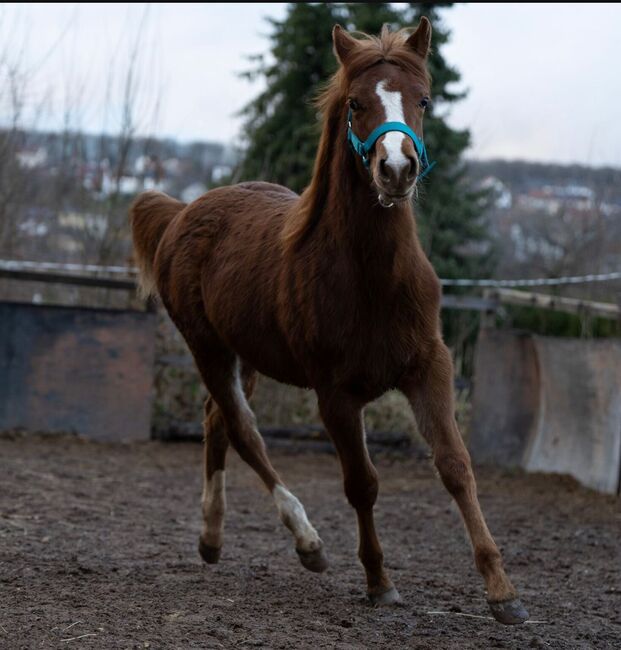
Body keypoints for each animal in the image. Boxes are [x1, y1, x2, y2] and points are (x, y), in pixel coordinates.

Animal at [130, 17, 528, 620]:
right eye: (357, 103)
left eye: (424, 100)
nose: (396, 169)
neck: (370, 278)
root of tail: (182, 212)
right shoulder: (336, 395)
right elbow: (361, 483)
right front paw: (379, 580)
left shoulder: (429, 367)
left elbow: (456, 466)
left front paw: (502, 591)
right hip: (207, 348)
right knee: (245, 432)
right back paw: (307, 542)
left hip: (247, 356)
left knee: (216, 421)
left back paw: (212, 538)